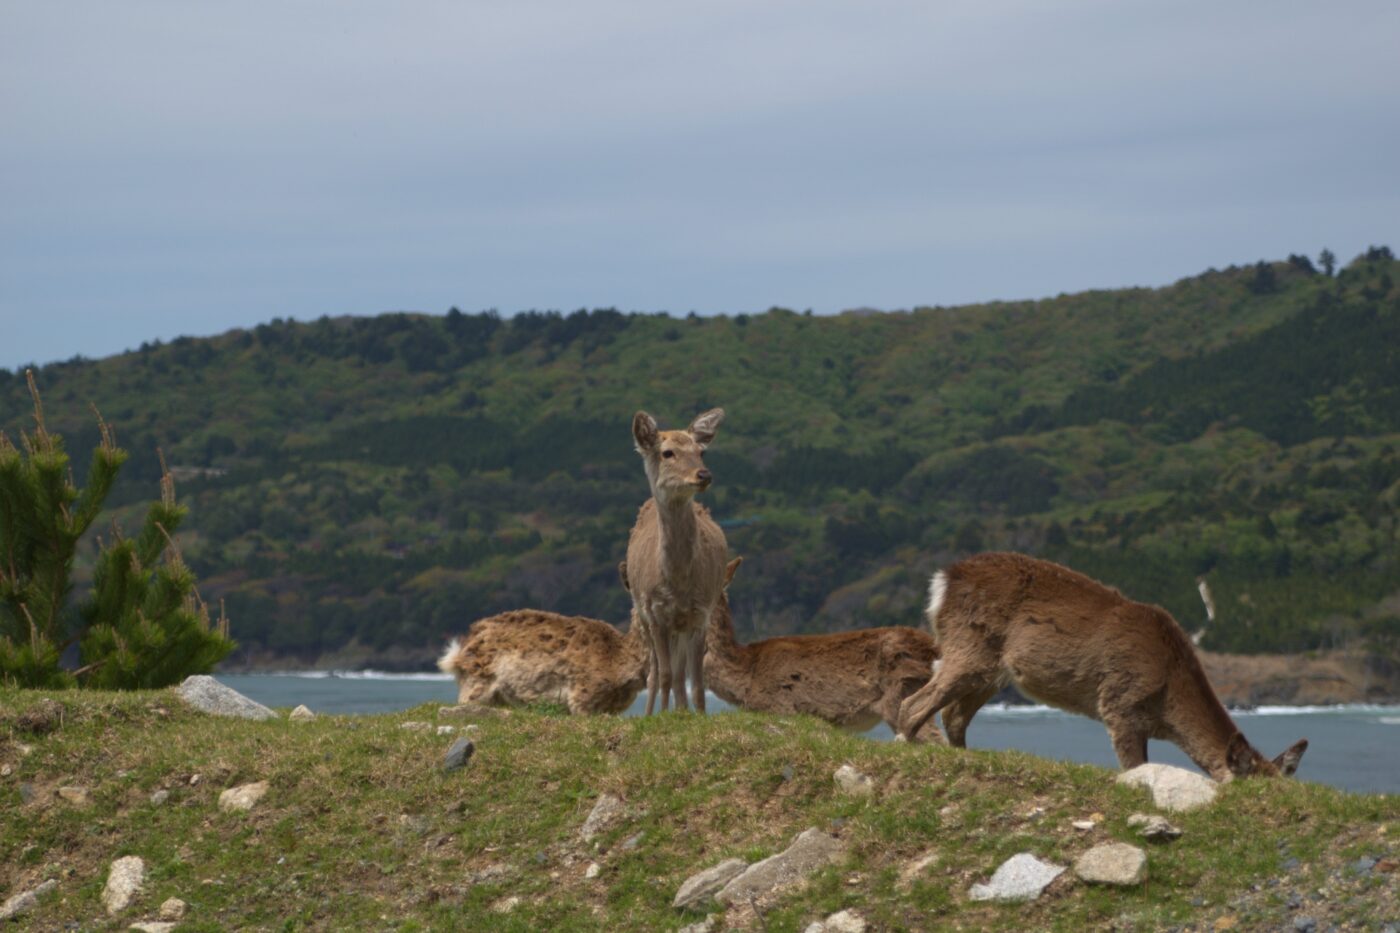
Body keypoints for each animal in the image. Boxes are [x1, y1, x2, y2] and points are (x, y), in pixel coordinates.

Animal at [625, 407, 730, 714]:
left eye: (701, 451)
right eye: (667, 452)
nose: (703, 474)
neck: (678, 584)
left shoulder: (701, 613)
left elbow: (697, 681)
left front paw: (697, 716)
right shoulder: (655, 613)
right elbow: (665, 675)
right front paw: (662, 717)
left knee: (680, 673)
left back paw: (682, 709)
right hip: (641, 615)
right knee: (655, 673)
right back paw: (651, 713)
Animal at [897, 552, 1308, 781]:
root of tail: (942, 582)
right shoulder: (1120, 704)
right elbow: (1134, 769)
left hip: (992, 671)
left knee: (952, 714)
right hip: (969, 645)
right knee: (914, 703)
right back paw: (907, 746)